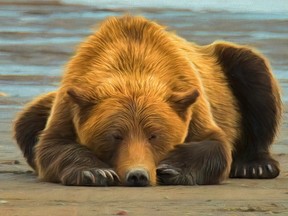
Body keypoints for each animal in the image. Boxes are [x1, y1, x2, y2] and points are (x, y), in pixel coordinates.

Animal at [13, 16, 282, 186]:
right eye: (115, 135)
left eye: (154, 135)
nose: (137, 175)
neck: (133, 65)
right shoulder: (71, 99)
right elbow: (53, 144)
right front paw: (96, 172)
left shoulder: (192, 97)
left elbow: (214, 143)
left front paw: (172, 168)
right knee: (27, 120)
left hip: (226, 68)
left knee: (254, 74)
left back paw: (256, 166)